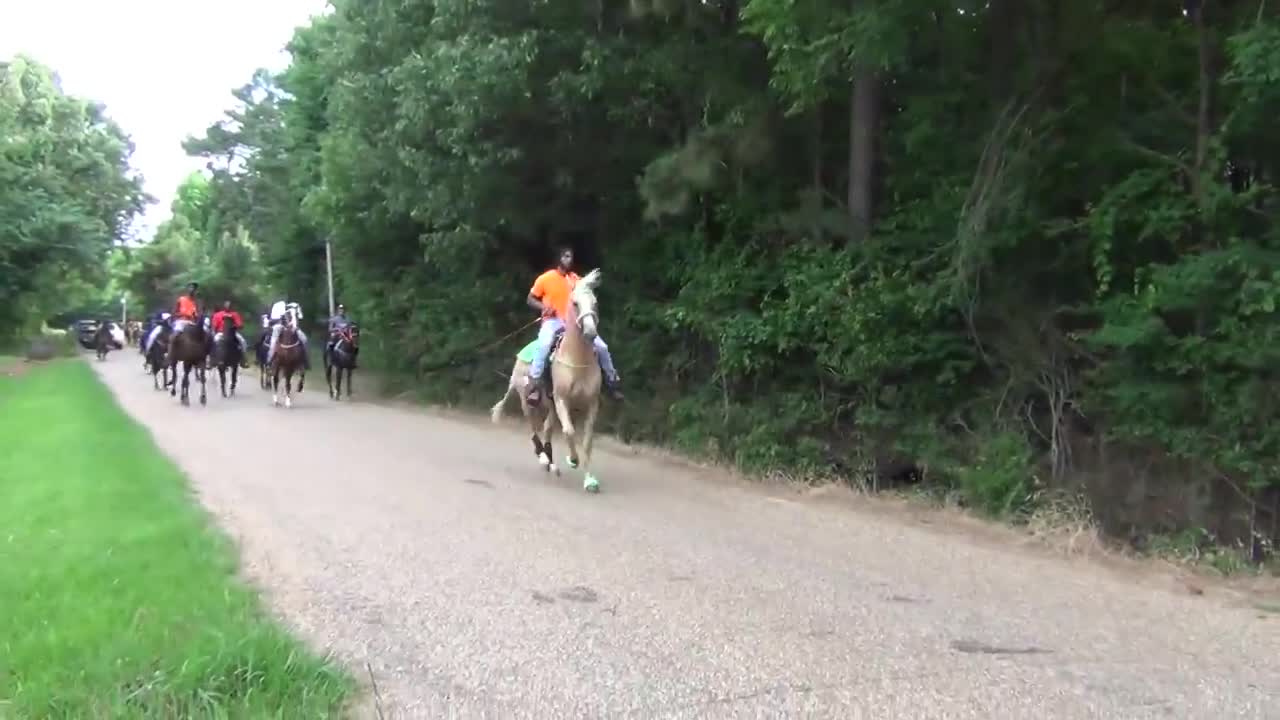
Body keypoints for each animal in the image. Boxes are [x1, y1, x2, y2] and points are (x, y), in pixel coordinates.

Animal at [491, 266, 606, 489]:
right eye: (575, 303)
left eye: (595, 302)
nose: (590, 333)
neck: (577, 360)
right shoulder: (562, 400)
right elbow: (569, 431)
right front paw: (573, 459)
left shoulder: (591, 403)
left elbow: (587, 440)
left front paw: (590, 480)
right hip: (528, 401)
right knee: (534, 429)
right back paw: (544, 458)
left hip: (550, 406)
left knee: (546, 429)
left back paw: (552, 464)